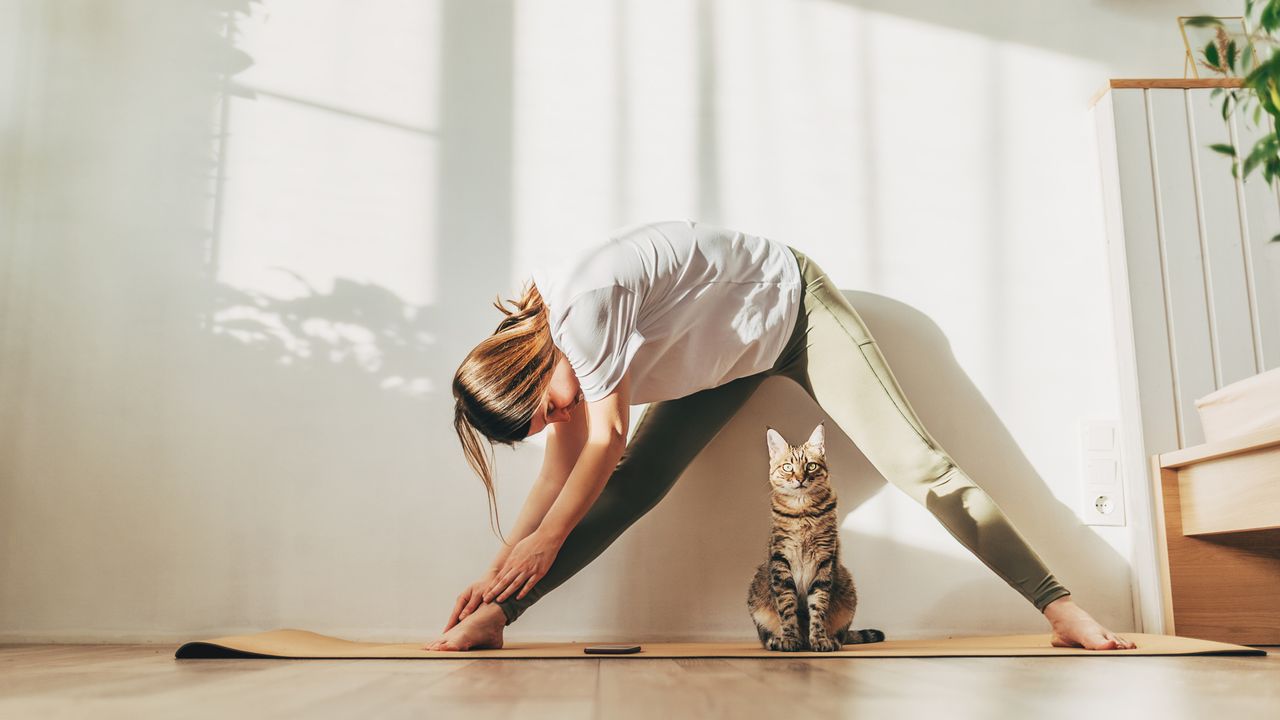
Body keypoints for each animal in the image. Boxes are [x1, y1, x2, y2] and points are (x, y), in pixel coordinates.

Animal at [747, 420, 885, 650]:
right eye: (787, 467)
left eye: (811, 466)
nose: (800, 478)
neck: (803, 510)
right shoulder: (780, 560)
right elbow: (787, 606)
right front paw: (789, 639)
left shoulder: (824, 561)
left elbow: (818, 606)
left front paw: (820, 639)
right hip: (756, 592)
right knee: (764, 636)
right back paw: (777, 640)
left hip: (848, 589)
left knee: (842, 634)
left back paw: (831, 640)